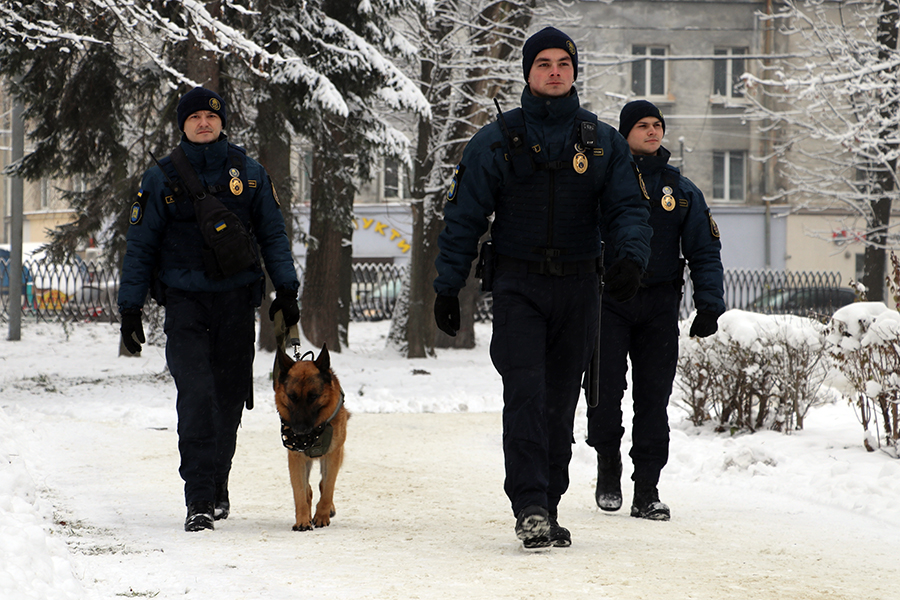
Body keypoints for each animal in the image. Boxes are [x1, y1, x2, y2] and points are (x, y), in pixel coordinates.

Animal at [272, 344, 350, 532]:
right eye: (292, 396)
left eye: (313, 396)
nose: (299, 430)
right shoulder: (296, 458)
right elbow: (300, 492)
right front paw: (302, 520)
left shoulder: (332, 455)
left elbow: (328, 488)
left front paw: (321, 516)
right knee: (308, 489)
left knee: (324, 485)